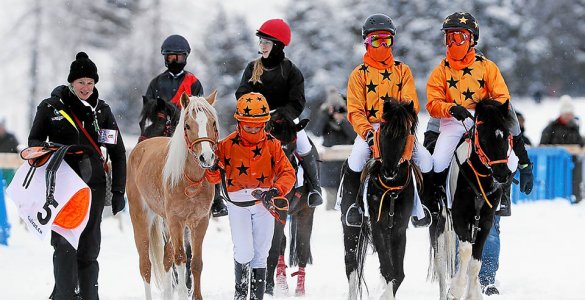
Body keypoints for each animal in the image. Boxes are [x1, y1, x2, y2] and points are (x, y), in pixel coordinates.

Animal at [127, 92, 219, 300]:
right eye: (187, 125)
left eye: (212, 123)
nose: (206, 157)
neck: (190, 181)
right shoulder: (176, 221)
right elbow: (180, 258)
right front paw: (184, 294)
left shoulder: (200, 222)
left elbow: (195, 262)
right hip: (141, 218)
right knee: (146, 266)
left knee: (166, 259)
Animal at [346, 99, 420, 298]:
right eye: (384, 131)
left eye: (404, 134)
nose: (389, 171)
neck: (391, 189)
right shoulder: (377, 224)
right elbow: (388, 270)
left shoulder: (399, 229)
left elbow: (398, 273)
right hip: (351, 231)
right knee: (351, 265)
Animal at [426, 99, 512, 298]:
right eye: (484, 137)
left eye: (506, 136)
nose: (502, 174)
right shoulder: (460, 216)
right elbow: (465, 251)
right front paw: (456, 290)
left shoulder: (486, 220)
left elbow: (476, 261)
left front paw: (473, 294)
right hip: (438, 224)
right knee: (441, 263)